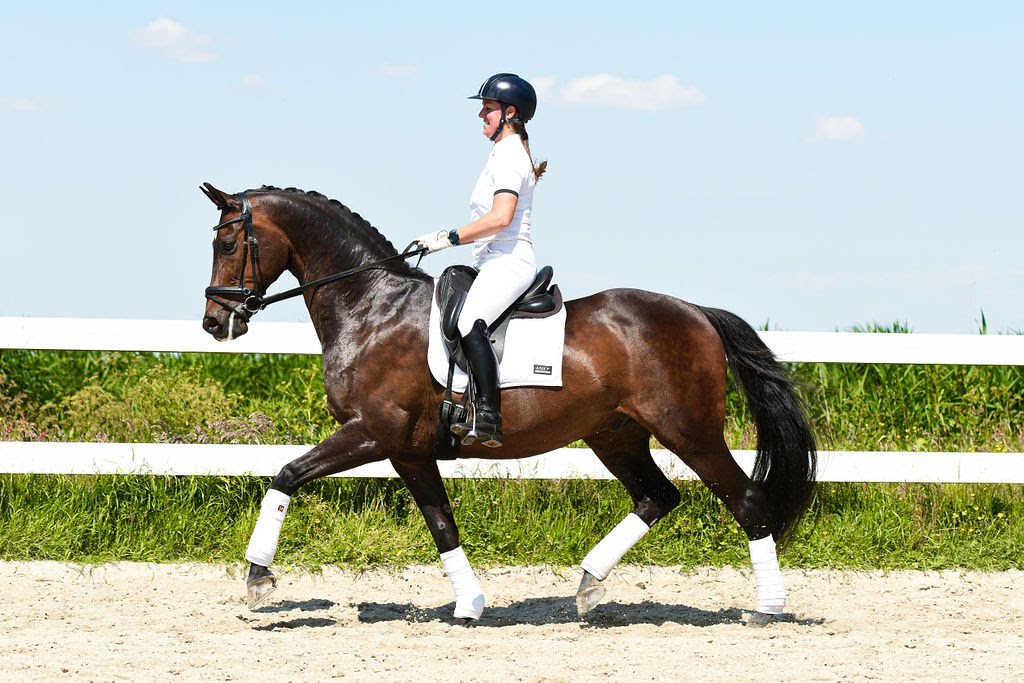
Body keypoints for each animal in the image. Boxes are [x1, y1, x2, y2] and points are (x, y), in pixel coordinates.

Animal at [199, 183, 817, 626]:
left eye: (226, 244)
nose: (213, 322)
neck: (370, 306)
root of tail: (696, 312)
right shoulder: (409, 452)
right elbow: (442, 526)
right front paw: (469, 605)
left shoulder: (371, 433)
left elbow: (286, 474)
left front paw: (257, 578)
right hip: (614, 433)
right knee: (657, 495)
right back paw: (589, 585)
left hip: (689, 432)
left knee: (747, 503)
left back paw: (766, 610)